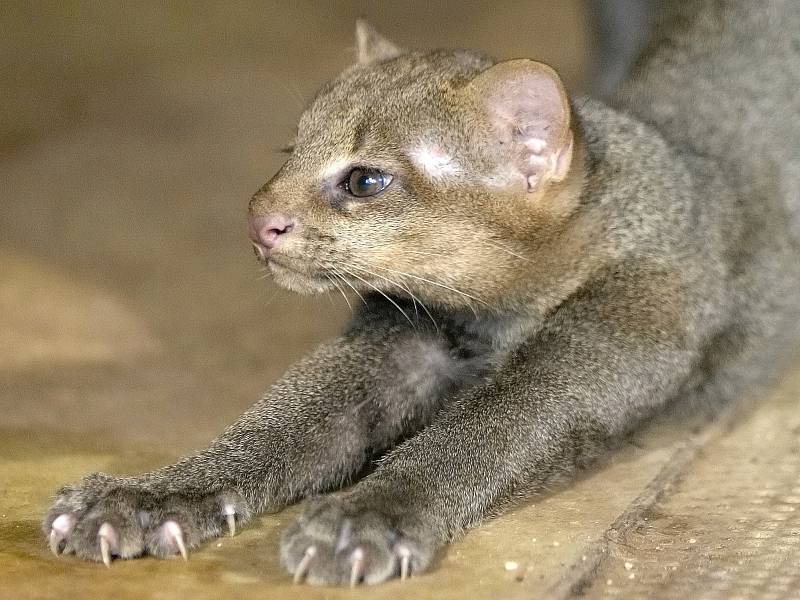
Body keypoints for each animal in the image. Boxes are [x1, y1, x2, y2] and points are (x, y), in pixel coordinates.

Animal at [43, 1, 800, 584]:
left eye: (366, 180)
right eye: (291, 151)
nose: (258, 222)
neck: (492, 324)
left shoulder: (611, 337)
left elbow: (489, 428)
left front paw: (361, 521)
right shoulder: (401, 336)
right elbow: (281, 422)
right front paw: (142, 498)